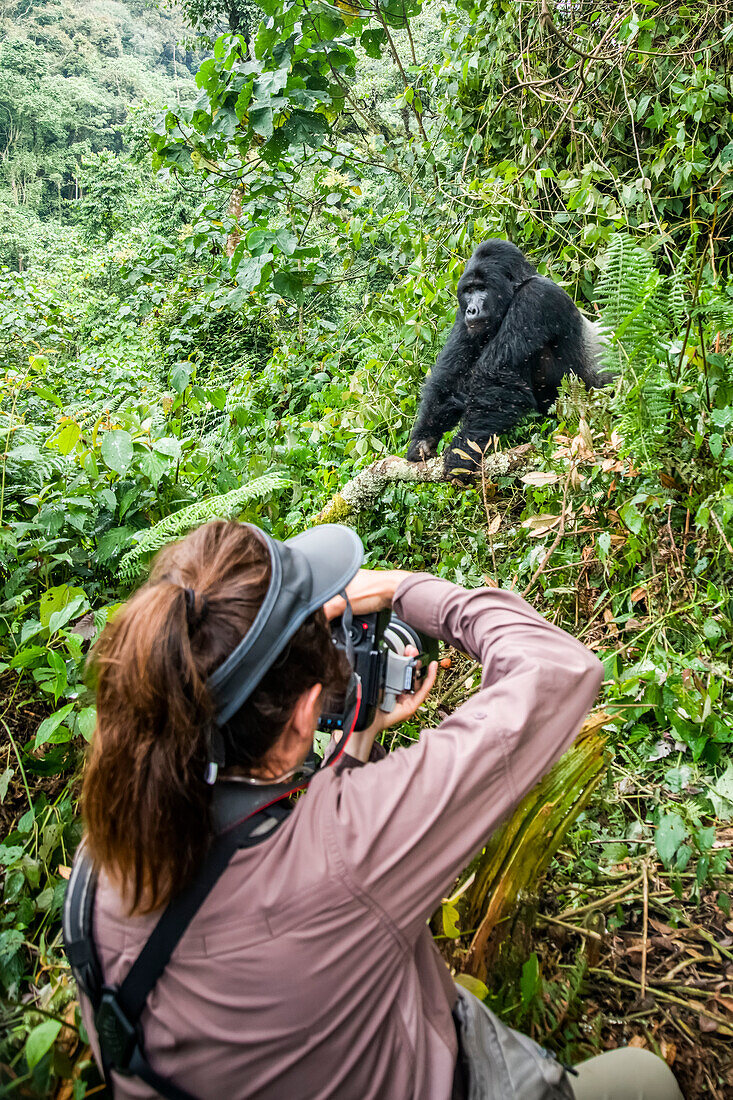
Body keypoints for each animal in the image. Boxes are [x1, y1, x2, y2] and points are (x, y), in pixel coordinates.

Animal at [402, 238, 607, 479]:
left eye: (482, 289)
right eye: (468, 291)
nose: (472, 310)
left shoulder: (535, 298)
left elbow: (497, 376)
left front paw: (463, 453)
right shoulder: (463, 317)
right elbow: (452, 376)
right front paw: (424, 440)